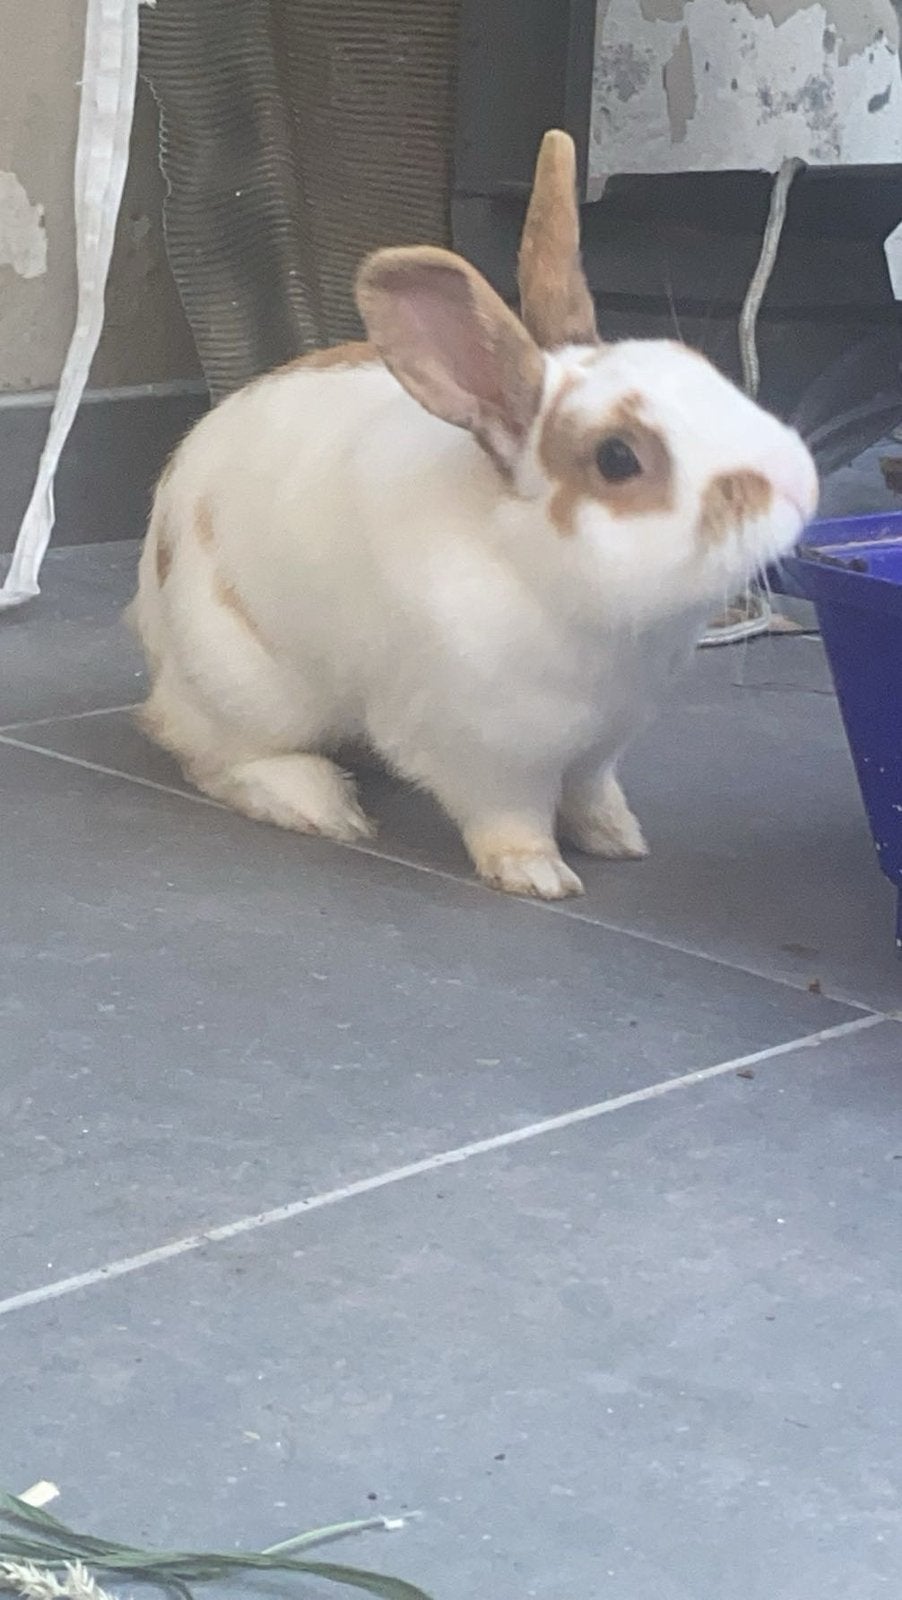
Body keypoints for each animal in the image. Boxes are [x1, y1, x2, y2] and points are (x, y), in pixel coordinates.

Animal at [130, 130, 818, 901]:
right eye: (617, 458)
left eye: (698, 365)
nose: (798, 482)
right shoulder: (484, 751)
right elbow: (509, 816)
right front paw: (537, 875)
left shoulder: (603, 743)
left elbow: (592, 791)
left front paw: (619, 839)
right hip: (248, 686)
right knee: (213, 753)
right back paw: (322, 805)